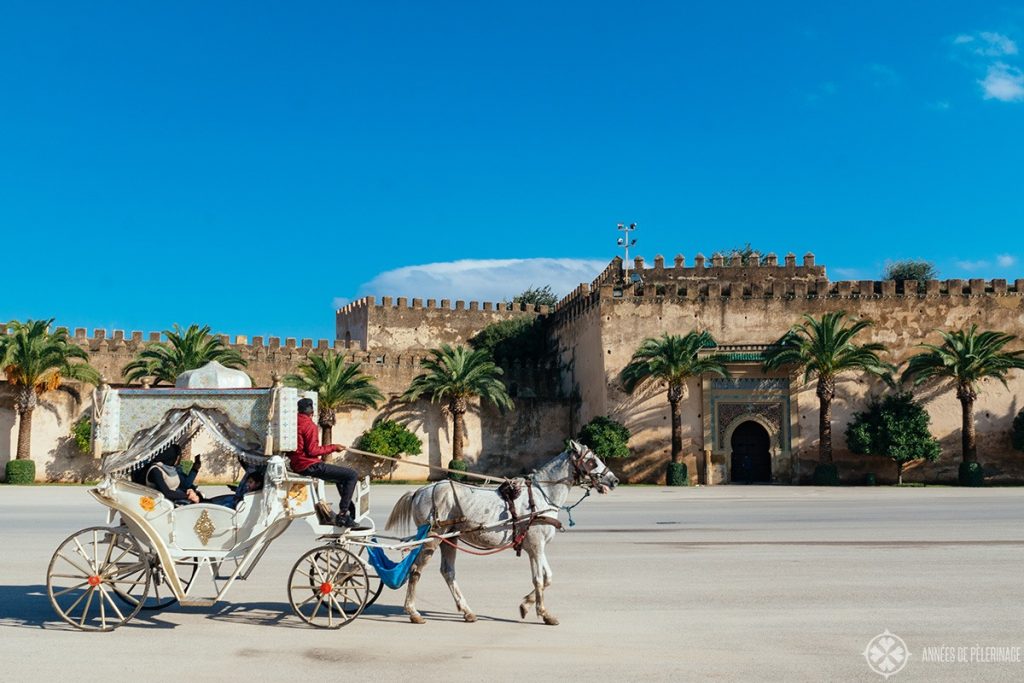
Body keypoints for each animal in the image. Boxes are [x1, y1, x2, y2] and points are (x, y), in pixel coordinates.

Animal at [387, 440, 618, 626]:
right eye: (592, 461)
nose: (614, 480)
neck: (542, 495)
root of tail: (421, 491)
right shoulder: (535, 546)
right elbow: (539, 580)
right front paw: (543, 613)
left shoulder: (538, 547)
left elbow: (548, 578)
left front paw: (526, 605)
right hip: (432, 538)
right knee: (415, 570)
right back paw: (413, 612)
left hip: (449, 538)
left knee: (448, 572)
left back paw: (467, 611)